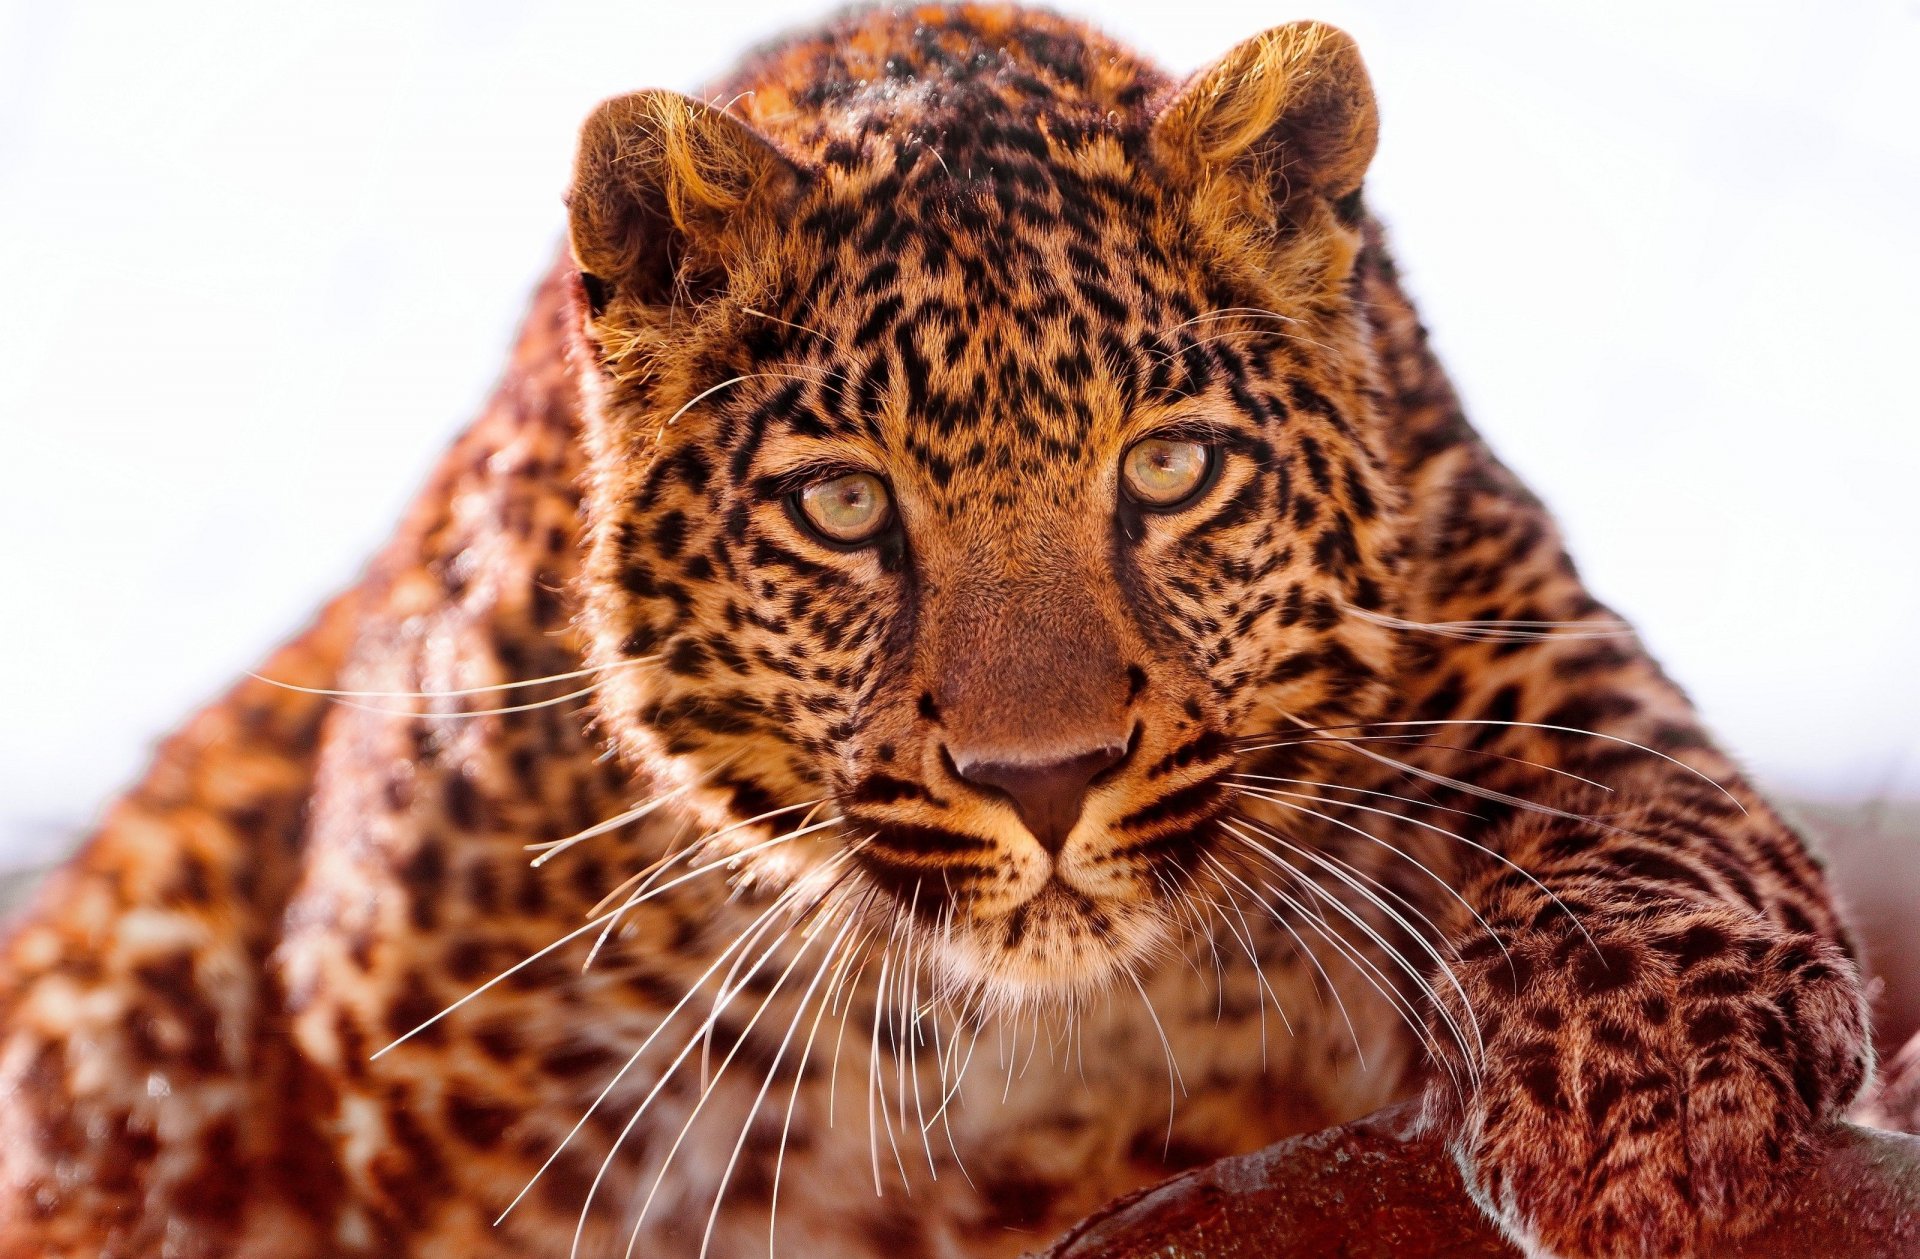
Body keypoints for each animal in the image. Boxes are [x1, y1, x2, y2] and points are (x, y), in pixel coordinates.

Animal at [0, 7, 1889, 1258]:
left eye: (1173, 469)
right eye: (846, 505)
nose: (1041, 781)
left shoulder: (1486, 595)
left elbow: (1621, 789)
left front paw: (1653, 1098)